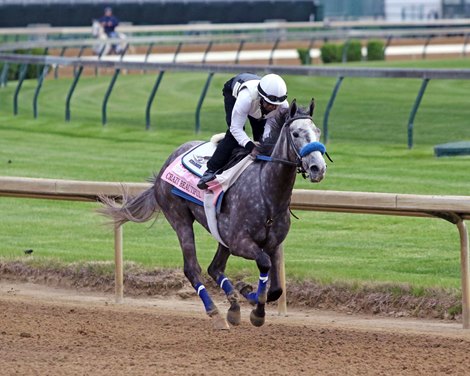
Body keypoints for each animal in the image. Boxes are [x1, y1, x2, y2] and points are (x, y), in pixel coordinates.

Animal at [99, 99, 326, 328]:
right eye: (296, 133)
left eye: (317, 132)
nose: (318, 168)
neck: (267, 192)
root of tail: (167, 163)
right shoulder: (239, 242)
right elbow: (263, 263)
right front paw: (255, 308)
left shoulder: (273, 244)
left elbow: (276, 289)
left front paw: (248, 295)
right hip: (179, 218)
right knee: (192, 268)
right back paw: (214, 311)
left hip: (220, 232)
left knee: (214, 268)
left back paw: (233, 307)